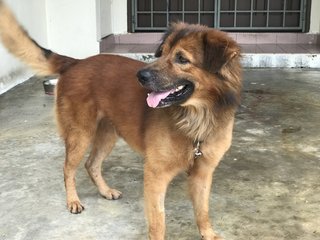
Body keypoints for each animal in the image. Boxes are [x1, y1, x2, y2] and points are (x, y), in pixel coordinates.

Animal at [0, 1, 240, 238]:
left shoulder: (203, 173)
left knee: (91, 164)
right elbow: (158, 222)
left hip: (108, 135)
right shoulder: (156, 175)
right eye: (162, 54)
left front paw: (208, 234)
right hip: (81, 134)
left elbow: (203, 211)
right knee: (68, 169)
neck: (197, 119)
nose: (140, 76)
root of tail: (76, 62)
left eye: (182, 59)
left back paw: (105, 191)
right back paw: (73, 201)